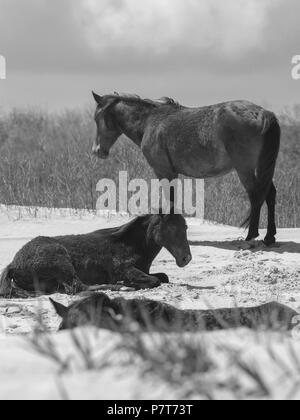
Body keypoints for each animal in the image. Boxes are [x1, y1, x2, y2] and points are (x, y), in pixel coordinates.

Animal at [92, 90, 282, 244]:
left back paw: (251, 235)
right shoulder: (172, 173)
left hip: (245, 169)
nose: (97, 151)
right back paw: (269, 237)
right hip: (261, 167)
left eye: (96, 118)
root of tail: (263, 113)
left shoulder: (164, 171)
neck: (150, 121)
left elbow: (170, 200)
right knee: (269, 194)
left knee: (255, 195)